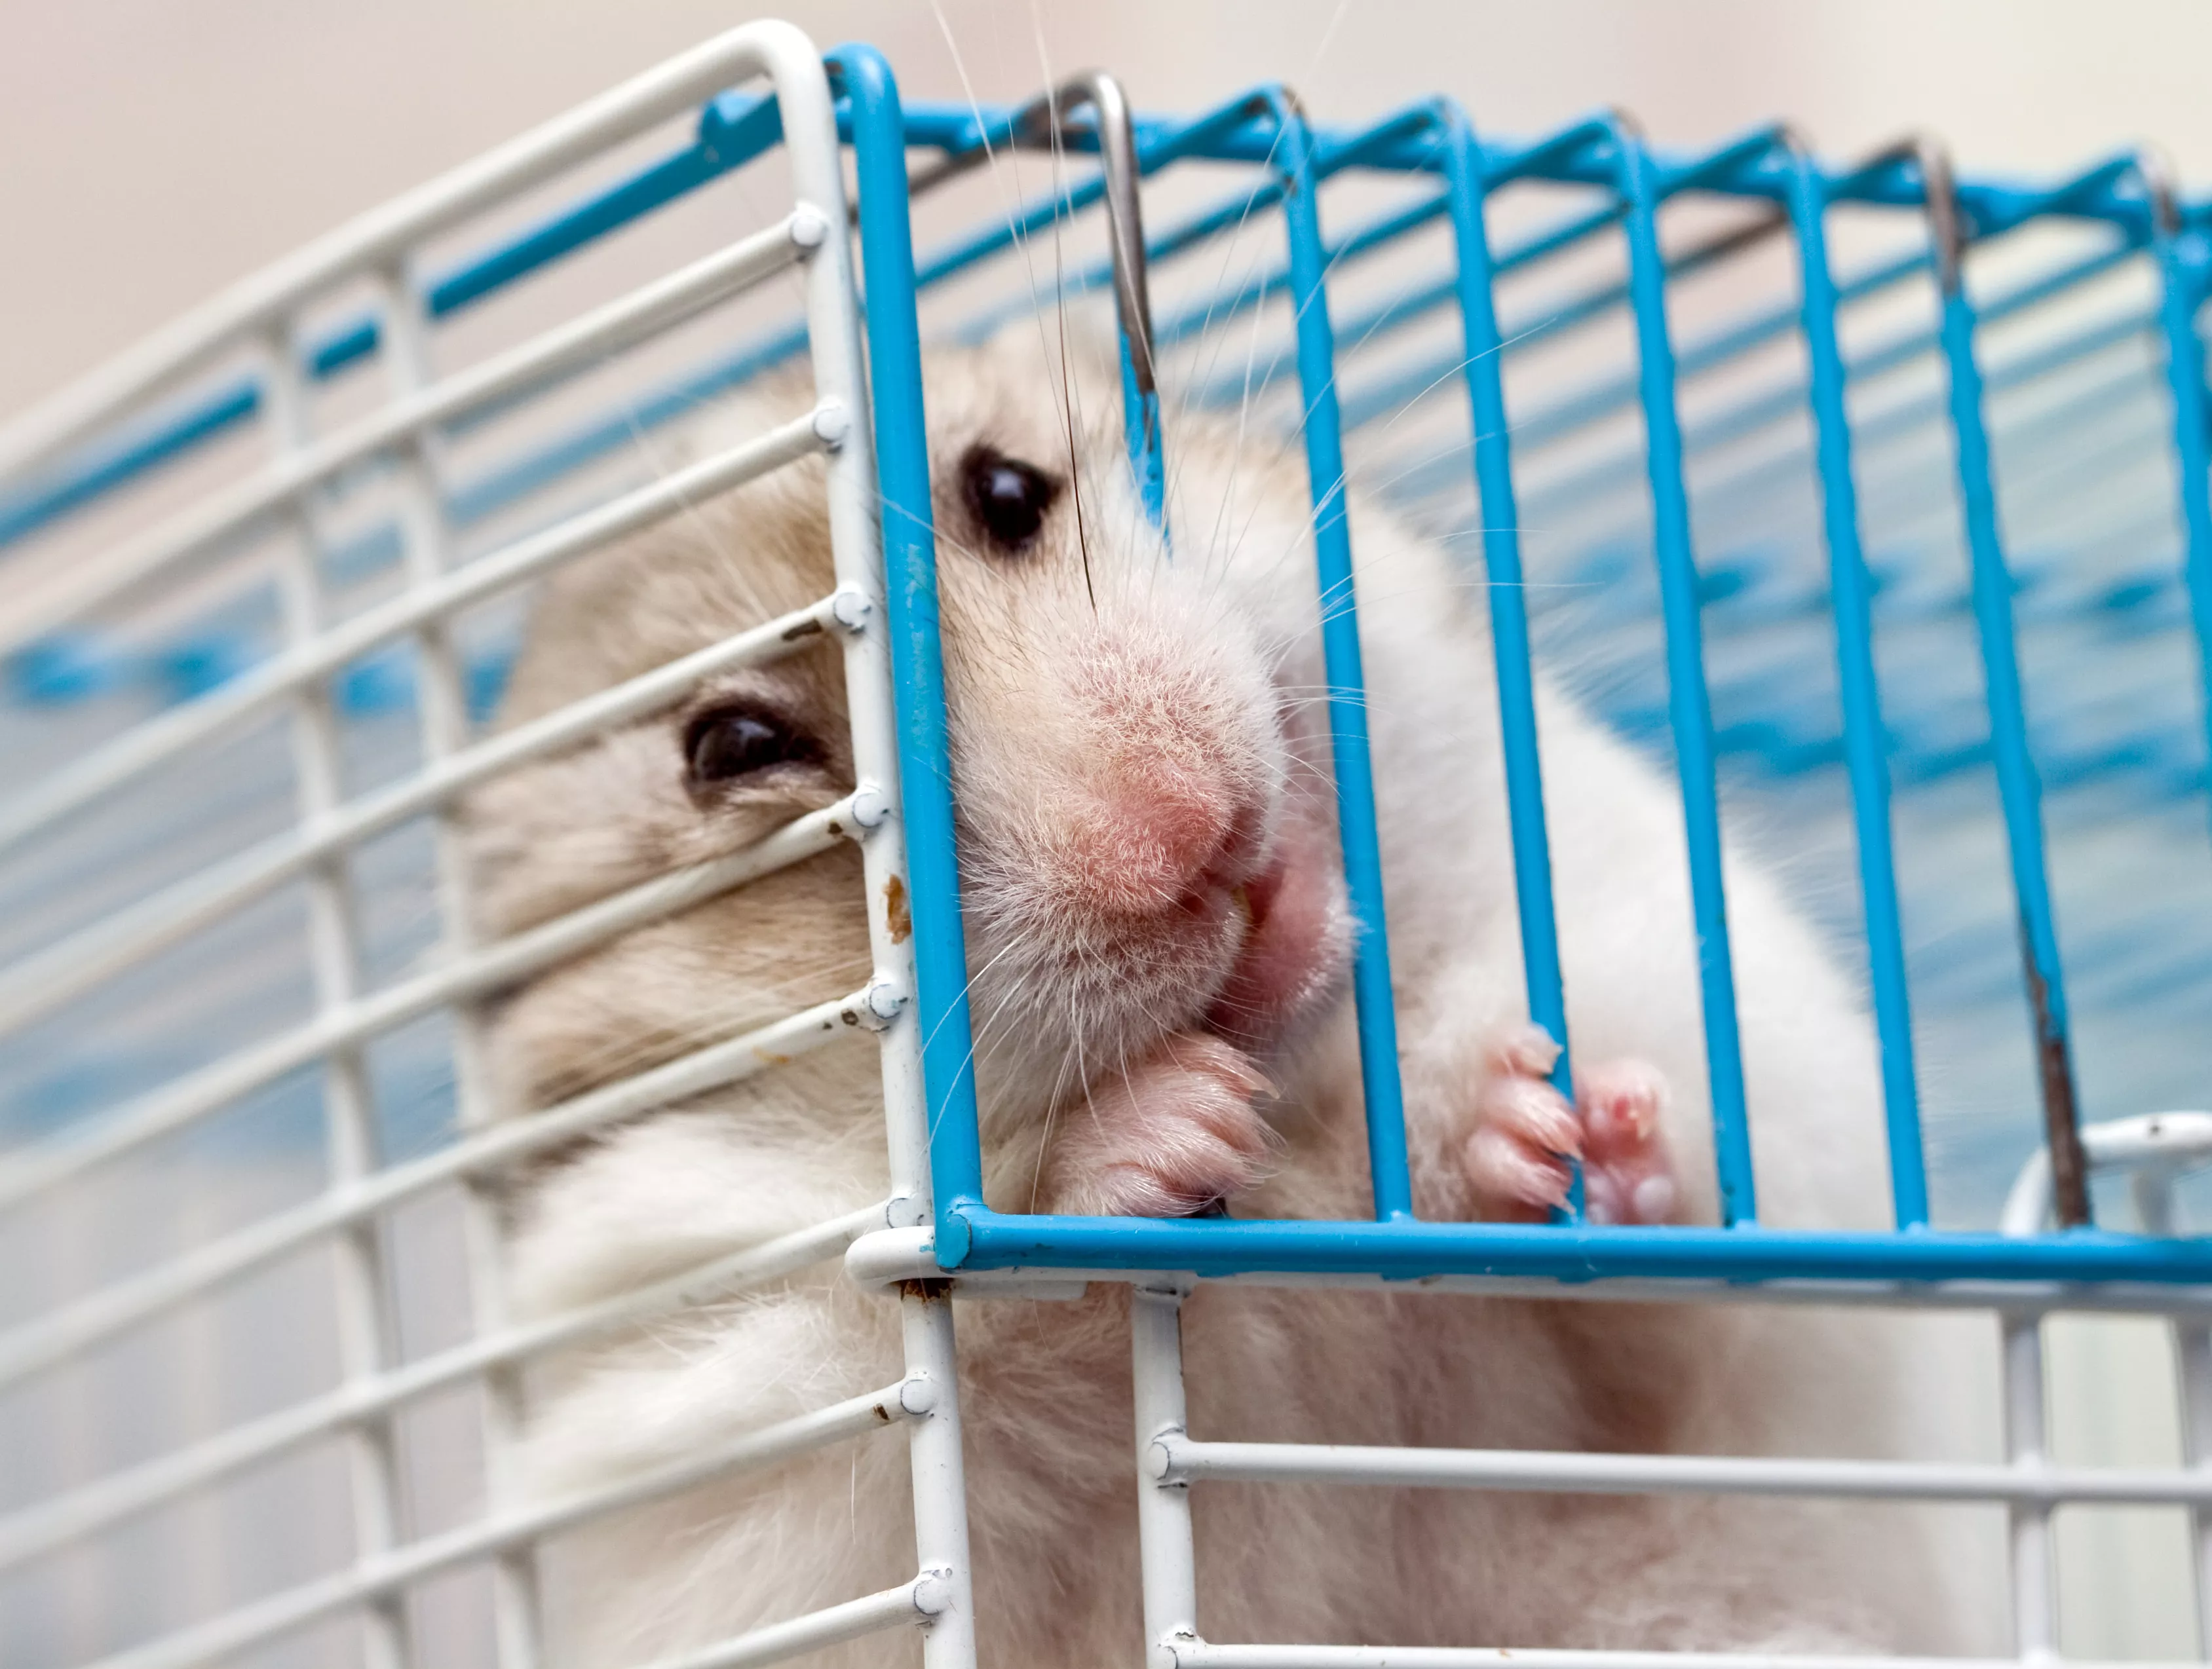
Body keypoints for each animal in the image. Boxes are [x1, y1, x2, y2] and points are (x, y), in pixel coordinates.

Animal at [466, 329, 2003, 1665]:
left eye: (1009, 491)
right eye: (734, 745)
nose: (1184, 835)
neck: (1306, 1105)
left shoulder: (1724, 1029)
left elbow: (1682, 1259)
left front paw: (1542, 1121)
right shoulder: (730, 1442)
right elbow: (988, 1345)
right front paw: (1178, 1126)